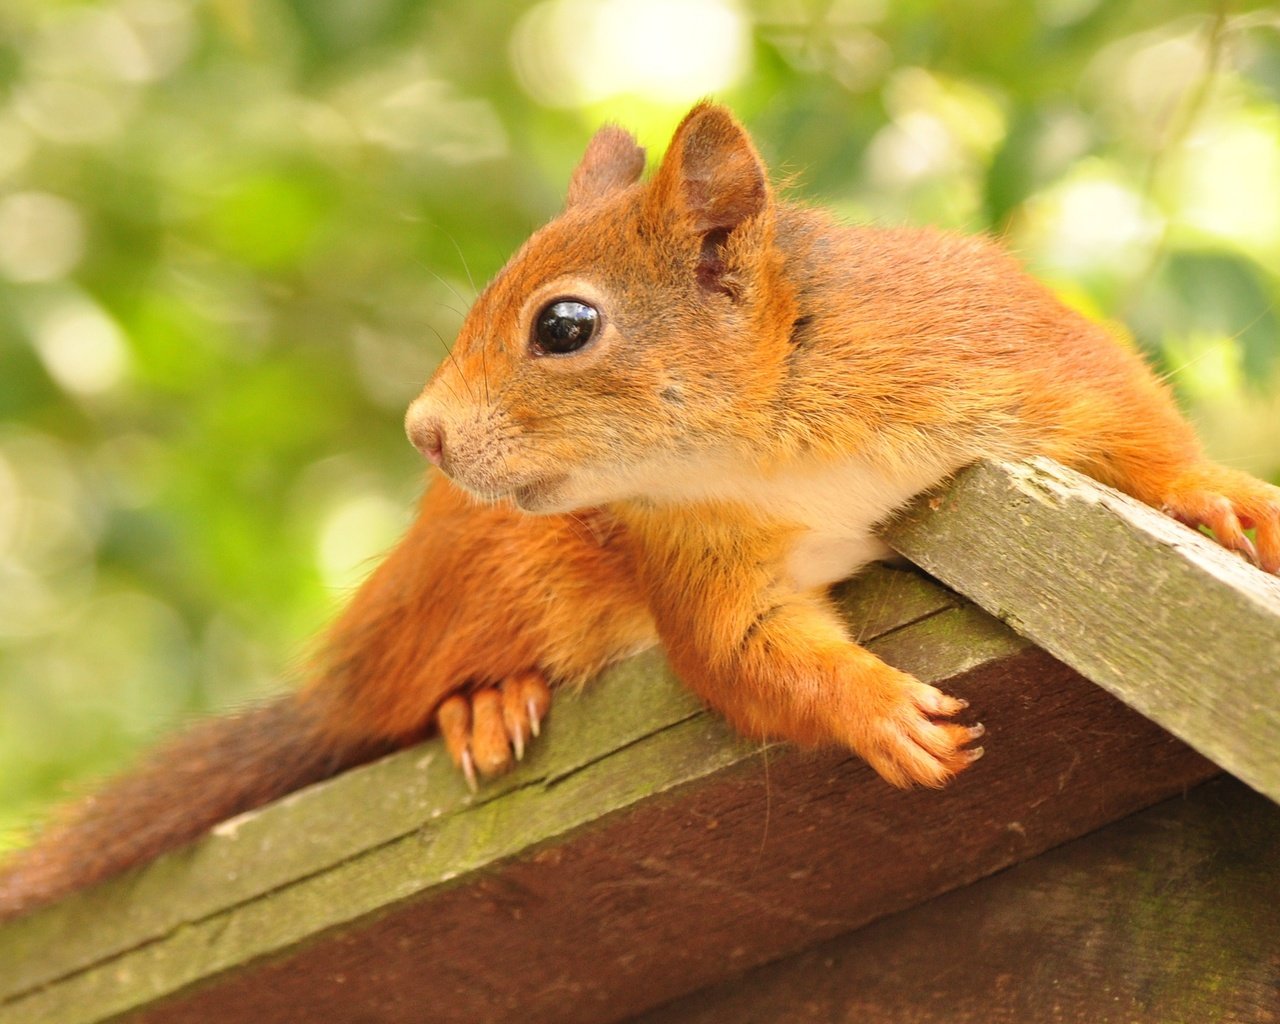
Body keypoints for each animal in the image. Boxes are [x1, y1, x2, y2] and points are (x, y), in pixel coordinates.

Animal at [0, 101, 1274, 921]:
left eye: (564, 325)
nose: (423, 432)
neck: (765, 440)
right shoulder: (691, 554)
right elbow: (740, 655)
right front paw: (881, 715)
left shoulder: (998, 345)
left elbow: (1129, 424)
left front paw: (1221, 494)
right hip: (494, 567)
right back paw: (482, 703)